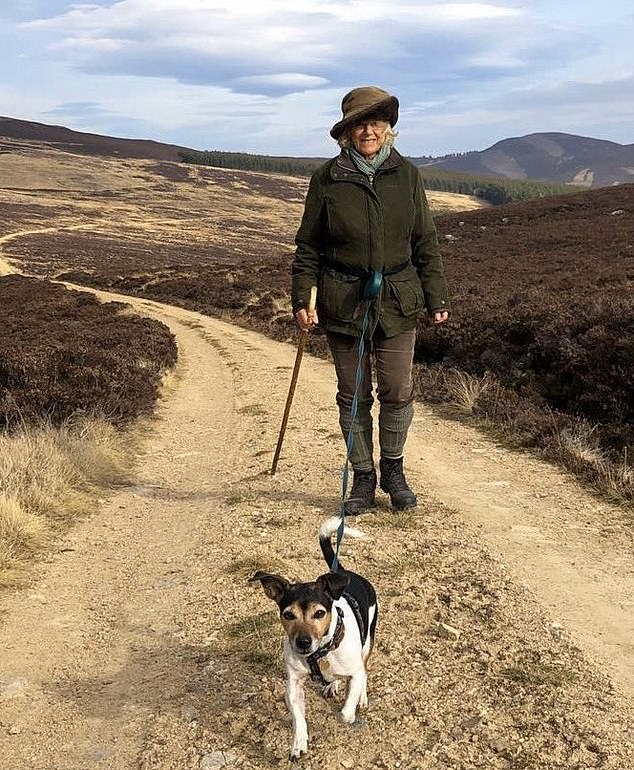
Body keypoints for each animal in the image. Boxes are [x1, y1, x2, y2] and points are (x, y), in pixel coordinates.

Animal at [247, 516, 376, 756]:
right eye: (288, 614)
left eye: (319, 613)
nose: (303, 642)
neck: (320, 653)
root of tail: (346, 573)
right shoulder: (294, 684)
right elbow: (298, 717)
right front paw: (298, 744)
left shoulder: (354, 672)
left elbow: (345, 711)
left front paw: (349, 710)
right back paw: (331, 685)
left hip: (368, 642)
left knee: (365, 670)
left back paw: (361, 697)